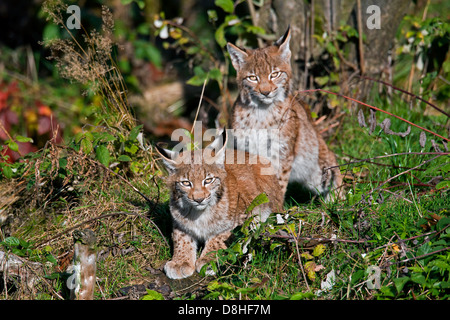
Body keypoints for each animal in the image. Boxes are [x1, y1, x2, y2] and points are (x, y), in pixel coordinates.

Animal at [155, 131, 282, 278]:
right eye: (186, 183)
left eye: (208, 180)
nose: (199, 199)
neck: (199, 213)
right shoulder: (178, 223)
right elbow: (181, 239)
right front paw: (180, 262)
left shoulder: (239, 219)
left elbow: (220, 236)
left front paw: (208, 259)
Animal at [227, 26, 342, 200]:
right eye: (253, 77)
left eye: (274, 74)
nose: (265, 92)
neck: (261, 112)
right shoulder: (246, 151)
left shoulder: (281, 153)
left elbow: (278, 183)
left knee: (334, 165)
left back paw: (338, 200)